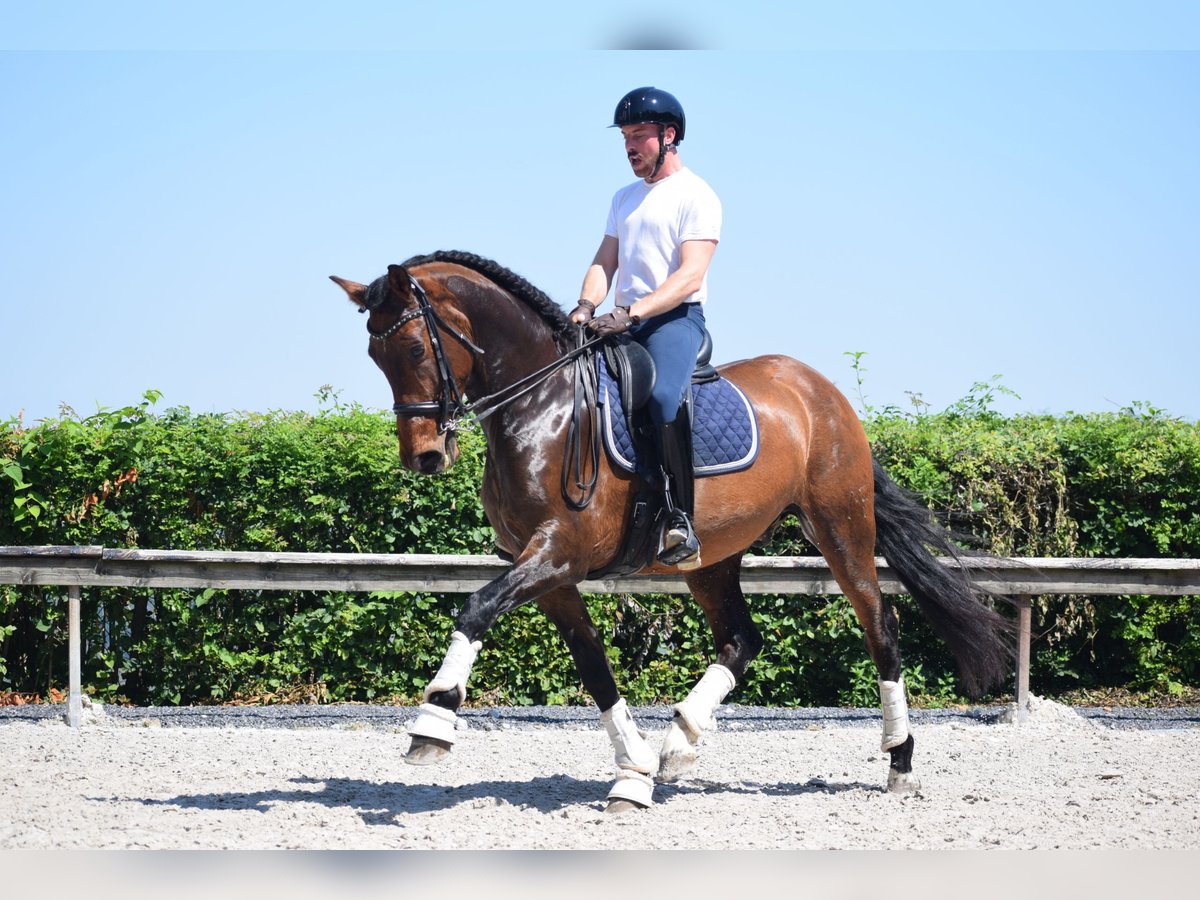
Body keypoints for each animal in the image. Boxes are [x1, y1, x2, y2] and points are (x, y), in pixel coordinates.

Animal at [331, 250, 1012, 816]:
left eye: (414, 350)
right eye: (374, 357)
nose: (423, 458)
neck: (543, 404)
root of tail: (822, 391)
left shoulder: (559, 553)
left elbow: (476, 607)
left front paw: (434, 719)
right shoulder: (547, 572)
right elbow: (592, 664)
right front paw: (632, 772)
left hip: (840, 526)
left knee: (880, 625)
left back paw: (900, 762)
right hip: (713, 557)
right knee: (741, 639)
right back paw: (678, 742)